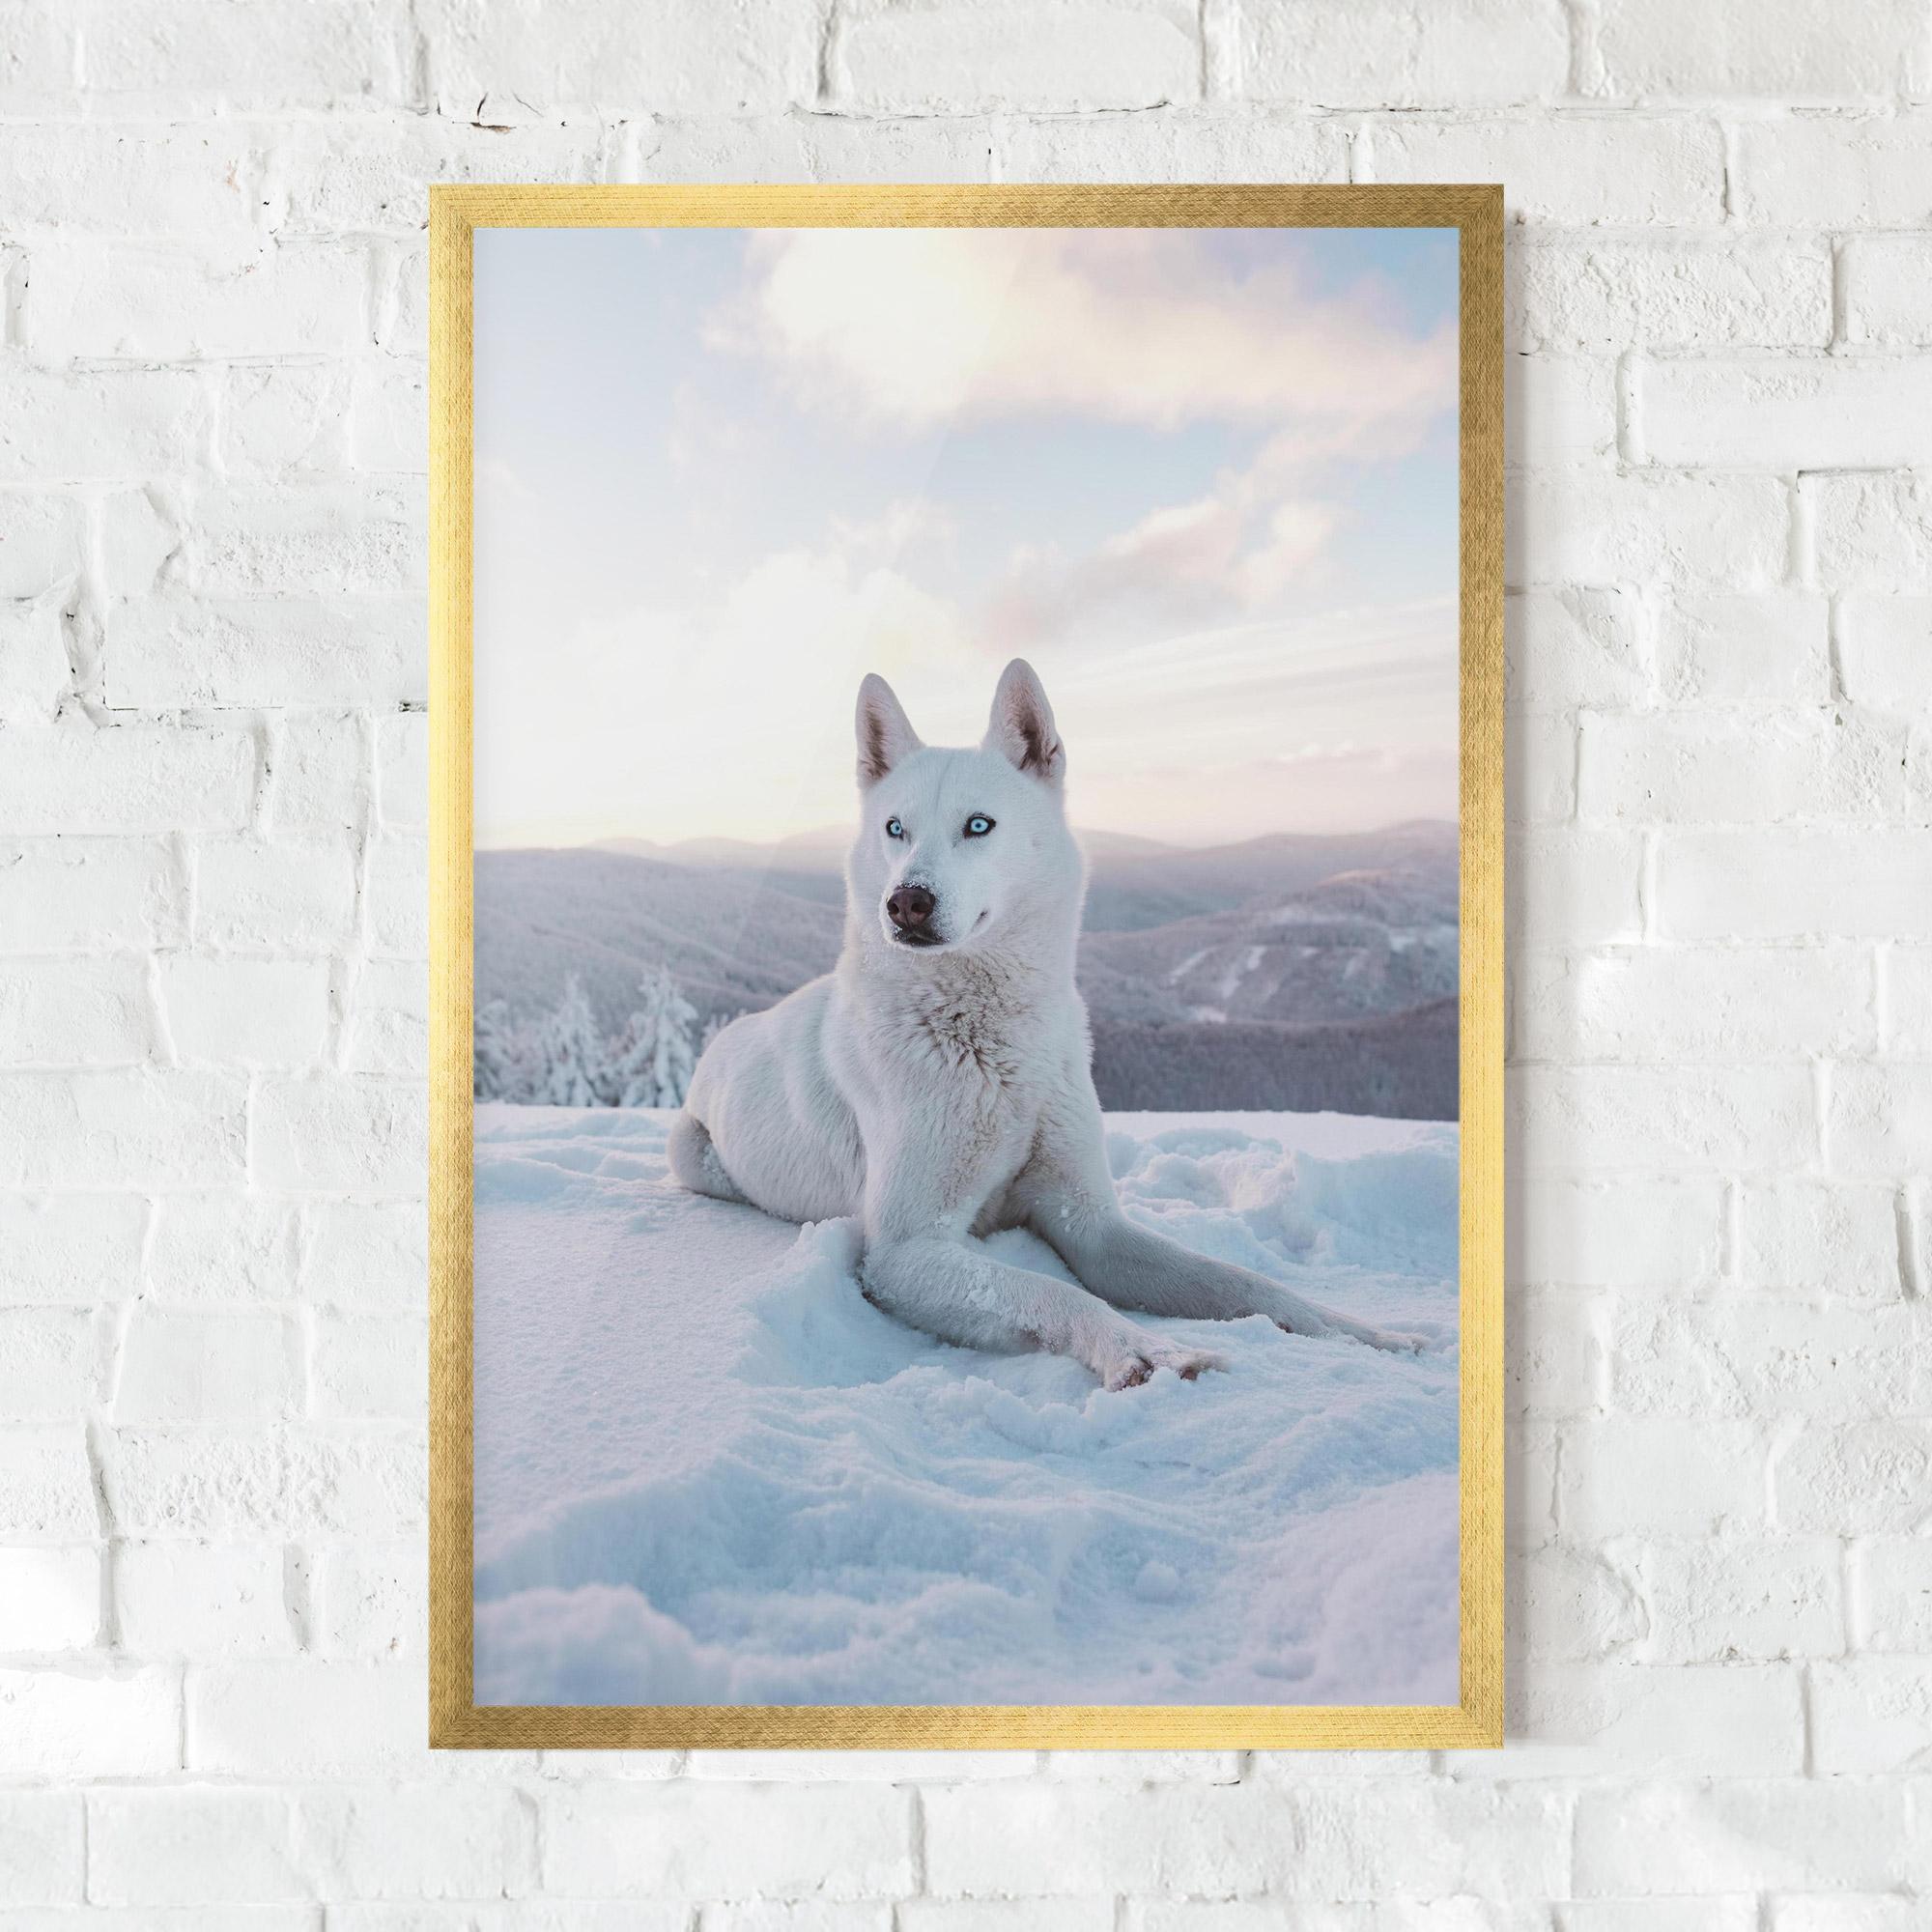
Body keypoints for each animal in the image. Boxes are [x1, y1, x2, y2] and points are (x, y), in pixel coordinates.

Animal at [669, 659, 1419, 1388]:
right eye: (894, 829)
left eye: (979, 825)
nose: (905, 901)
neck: (994, 1046)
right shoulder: (908, 1251)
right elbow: (1053, 1292)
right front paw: (1146, 1351)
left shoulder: (1091, 1224)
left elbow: (1239, 1281)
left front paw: (1364, 1333)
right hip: (695, 1156)